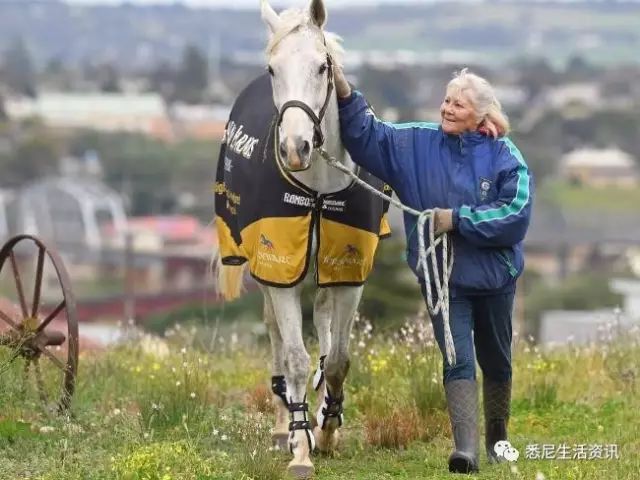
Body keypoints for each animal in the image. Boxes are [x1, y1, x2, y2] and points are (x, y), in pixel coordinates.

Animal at [219, 1, 372, 478]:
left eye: (323, 66)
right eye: (273, 68)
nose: (294, 148)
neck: (319, 187)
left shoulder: (349, 274)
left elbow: (337, 359)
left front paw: (329, 428)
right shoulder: (280, 268)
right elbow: (295, 357)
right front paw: (301, 444)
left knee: (322, 321)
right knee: (275, 335)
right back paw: (282, 423)